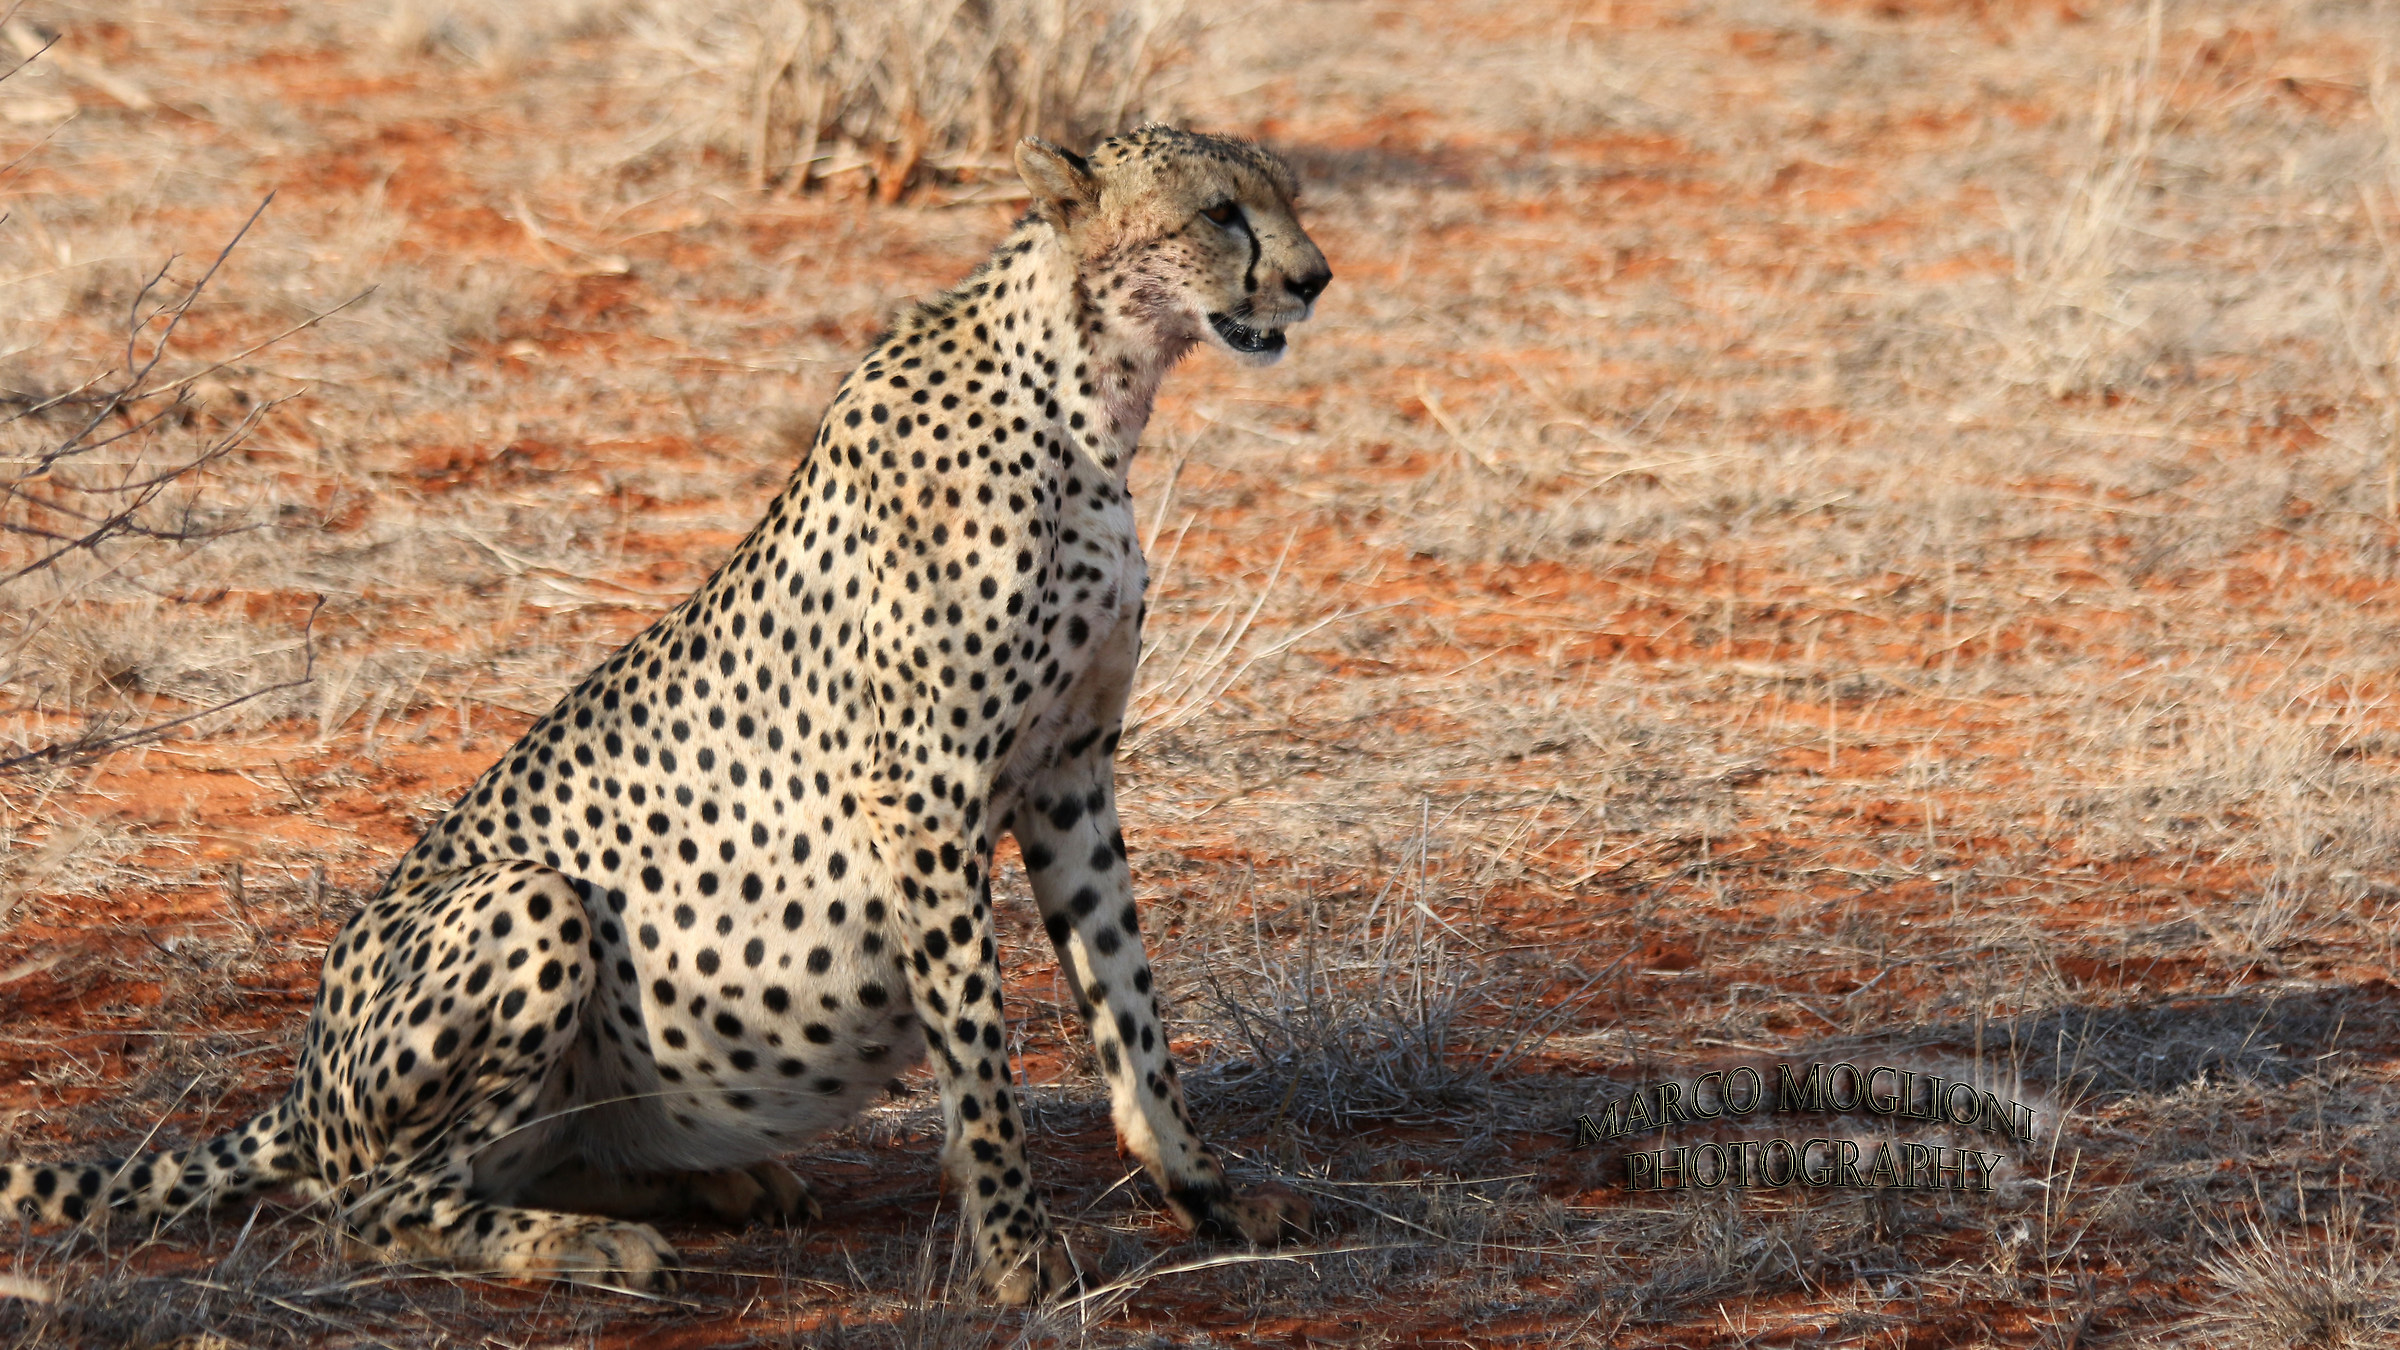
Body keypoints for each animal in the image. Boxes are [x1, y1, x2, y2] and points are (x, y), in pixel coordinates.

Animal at [0, 125, 1331, 1304]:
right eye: (1221, 212)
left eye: (1289, 196)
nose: (1314, 278)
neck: (1088, 392)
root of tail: (299, 1083)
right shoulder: (926, 795)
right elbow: (980, 1061)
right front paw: (1019, 1254)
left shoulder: (1069, 774)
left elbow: (1133, 1013)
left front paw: (1208, 1197)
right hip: (528, 902)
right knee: (375, 1201)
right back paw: (592, 1246)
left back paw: (711, 1187)